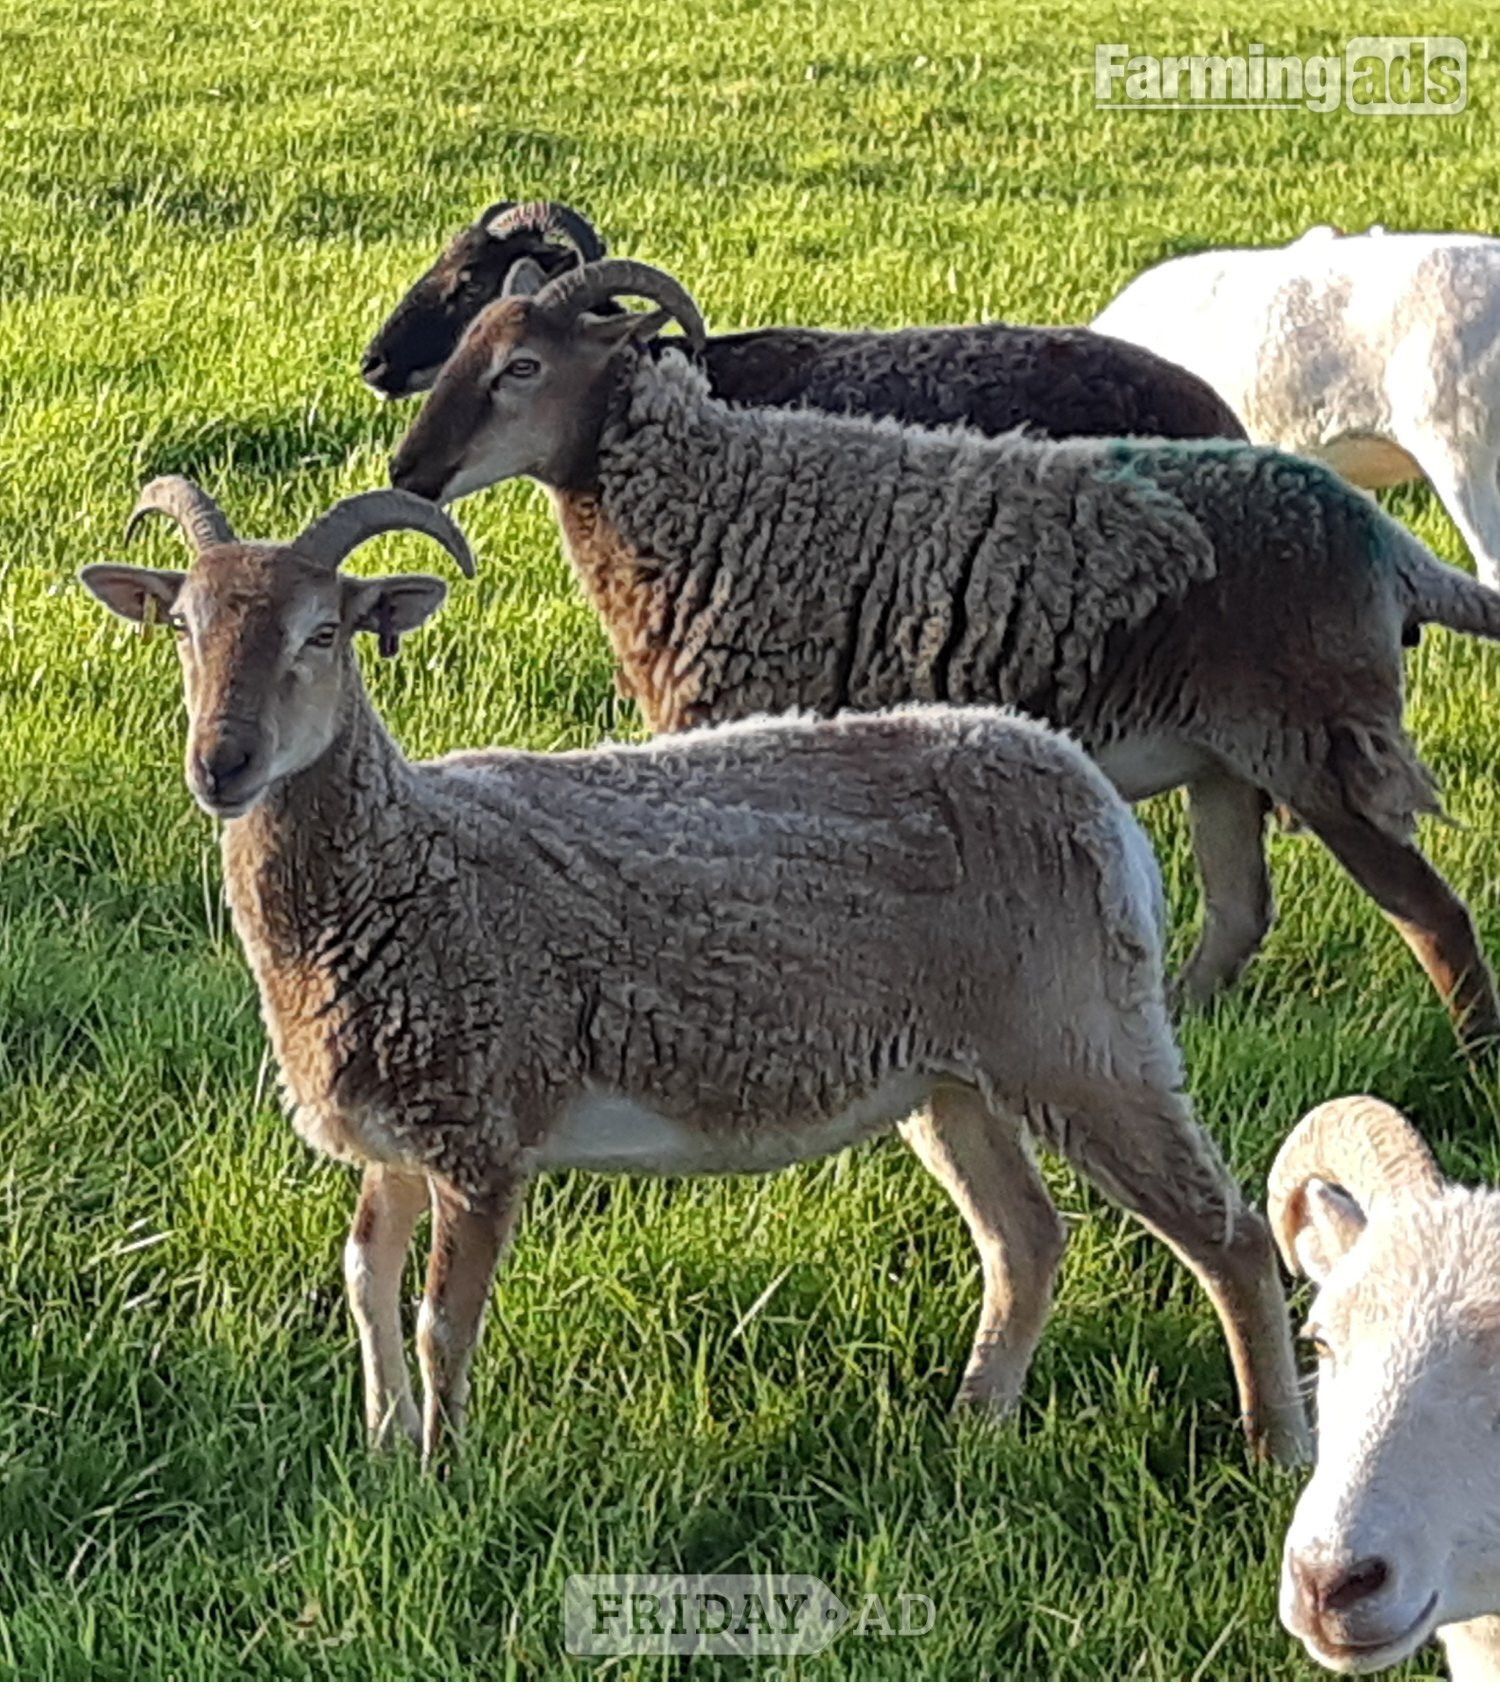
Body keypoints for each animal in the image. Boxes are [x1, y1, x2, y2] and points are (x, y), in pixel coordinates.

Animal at [78, 473, 1312, 1469]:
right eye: (182, 625)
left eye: (325, 631)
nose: (222, 763)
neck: (402, 863)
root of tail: (1088, 791)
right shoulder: (396, 1123)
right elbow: (364, 1279)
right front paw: (385, 1452)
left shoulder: (483, 1127)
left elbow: (439, 1321)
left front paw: (443, 1479)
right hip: (953, 1074)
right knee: (1027, 1239)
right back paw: (976, 1423)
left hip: (1085, 1038)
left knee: (1231, 1236)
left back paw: (1278, 1450)